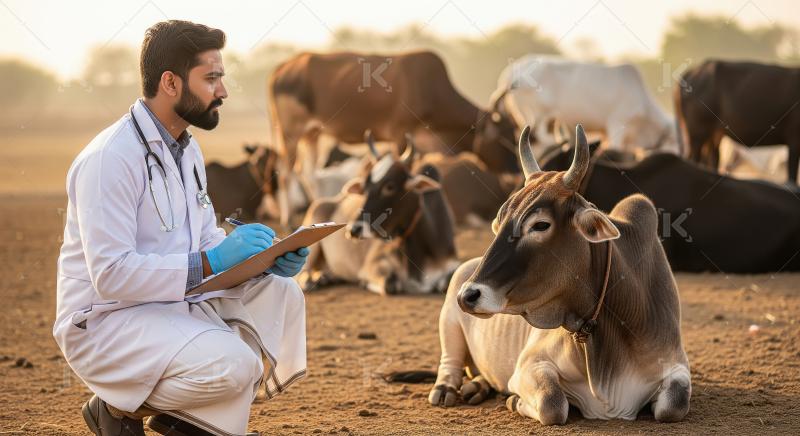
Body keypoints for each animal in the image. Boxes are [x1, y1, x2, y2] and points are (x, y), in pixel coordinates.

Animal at [269, 50, 518, 226]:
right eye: (503, 138)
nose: (516, 175)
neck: (430, 90)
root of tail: (282, 69)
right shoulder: (399, 137)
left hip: (312, 135)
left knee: (309, 174)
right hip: (291, 135)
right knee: (286, 174)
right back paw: (287, 220)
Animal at [299, 135, 459, 295]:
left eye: (389, 187)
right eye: (365, 187)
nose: (353, 230)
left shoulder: (452, 264)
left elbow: (447, 282)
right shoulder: (372, 263)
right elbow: (390, 284)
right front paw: (364, 282)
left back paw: (326, 276)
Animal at [428, 125, 691, 425]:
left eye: (540, 225)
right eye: (499, 220)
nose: (468, 295)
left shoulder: (677, 366)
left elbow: (674, 405)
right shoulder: (530, 365)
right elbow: (552, 403)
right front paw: (515, 400)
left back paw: (477, 387)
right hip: (448, 322)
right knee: (449, 363)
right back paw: (447, 389)